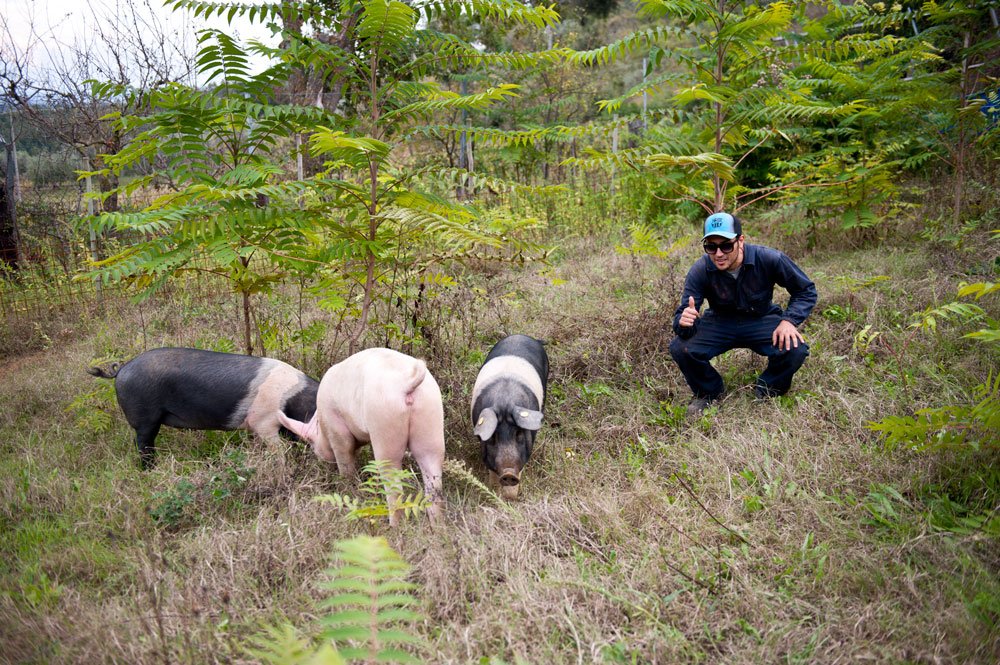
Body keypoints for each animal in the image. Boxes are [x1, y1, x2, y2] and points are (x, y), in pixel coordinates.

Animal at [89, 348, 318, 466]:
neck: (291, 398)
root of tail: (121, 370)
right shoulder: (263, 422)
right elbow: (279, 450)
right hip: (144, 417)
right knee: (143, 444)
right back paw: (150, 469)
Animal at [276, 344, 444, 520]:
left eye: (312, 445)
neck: (321, 425)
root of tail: (408, 382)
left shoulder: (336, 430)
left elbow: (345, 458)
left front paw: (347, 485)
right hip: (431, 416)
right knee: (433, 478)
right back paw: (436, 523)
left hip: (384, 423)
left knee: (394, 485)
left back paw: (394, 524)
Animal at [468, 332, 548, 498]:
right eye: (493, 437)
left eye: (519, 433)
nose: (509, 473)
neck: (504, 402)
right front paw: (493, 491)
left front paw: (510, 497)